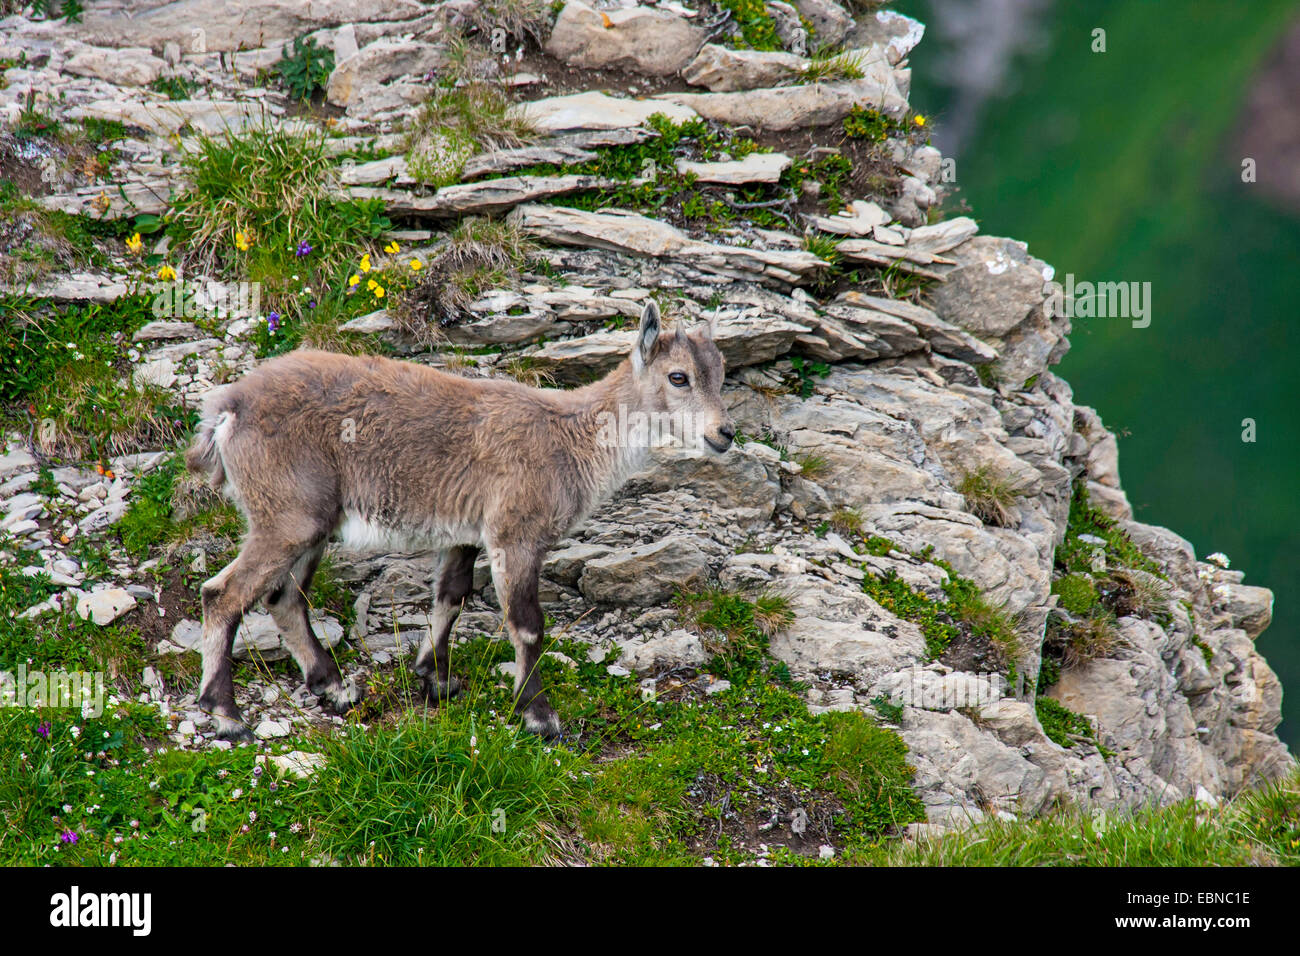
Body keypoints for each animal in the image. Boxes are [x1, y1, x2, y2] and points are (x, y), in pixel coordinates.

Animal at [184, 302, 735, 740]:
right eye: (679, 376)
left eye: (721, 373)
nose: (725, 433)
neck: (572, 440)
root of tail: (227, 410)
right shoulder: (515, 533)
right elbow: (527, 625)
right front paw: (539, 716)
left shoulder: (464, 535)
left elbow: (451, 597)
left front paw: (436, 678)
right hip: (289, 516)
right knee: (223, 594)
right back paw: (226, 714)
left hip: (311, 523)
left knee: (284, 596)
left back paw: (334, 687)